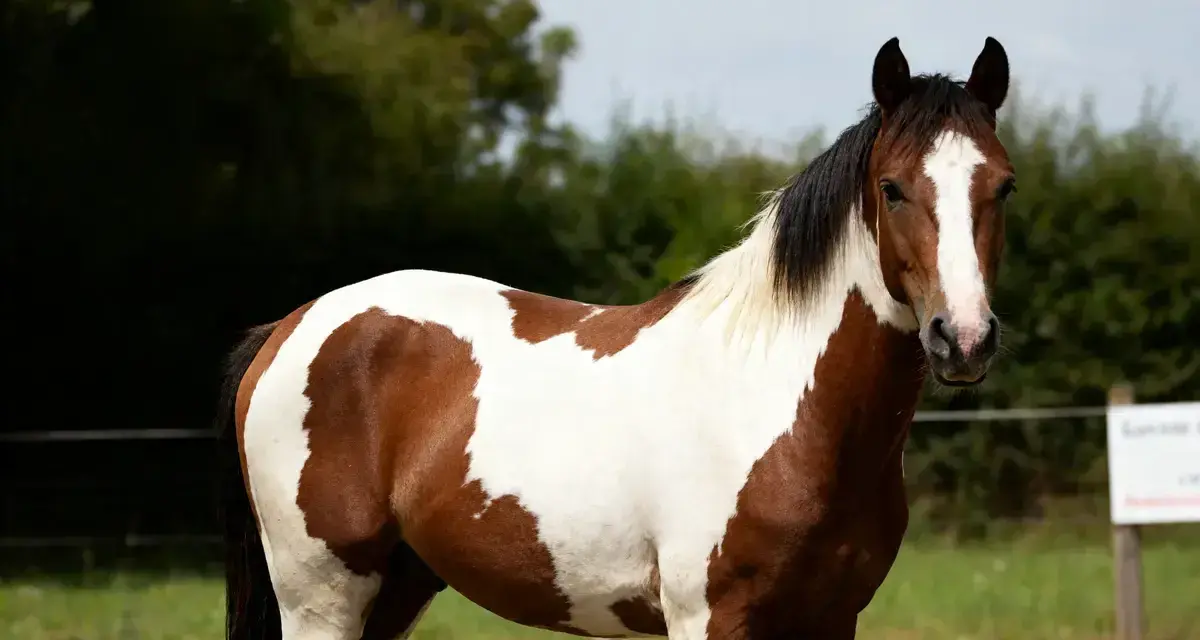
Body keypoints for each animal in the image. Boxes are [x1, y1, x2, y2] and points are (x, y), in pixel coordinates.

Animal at [218, 36, 1016, 640]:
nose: (963, 339)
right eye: (892, 188)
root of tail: (287, 328)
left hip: (397, 588)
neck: (782, 409)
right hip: (322, 598)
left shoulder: (832, 621)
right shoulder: (710, 619)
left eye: (1003, 185)